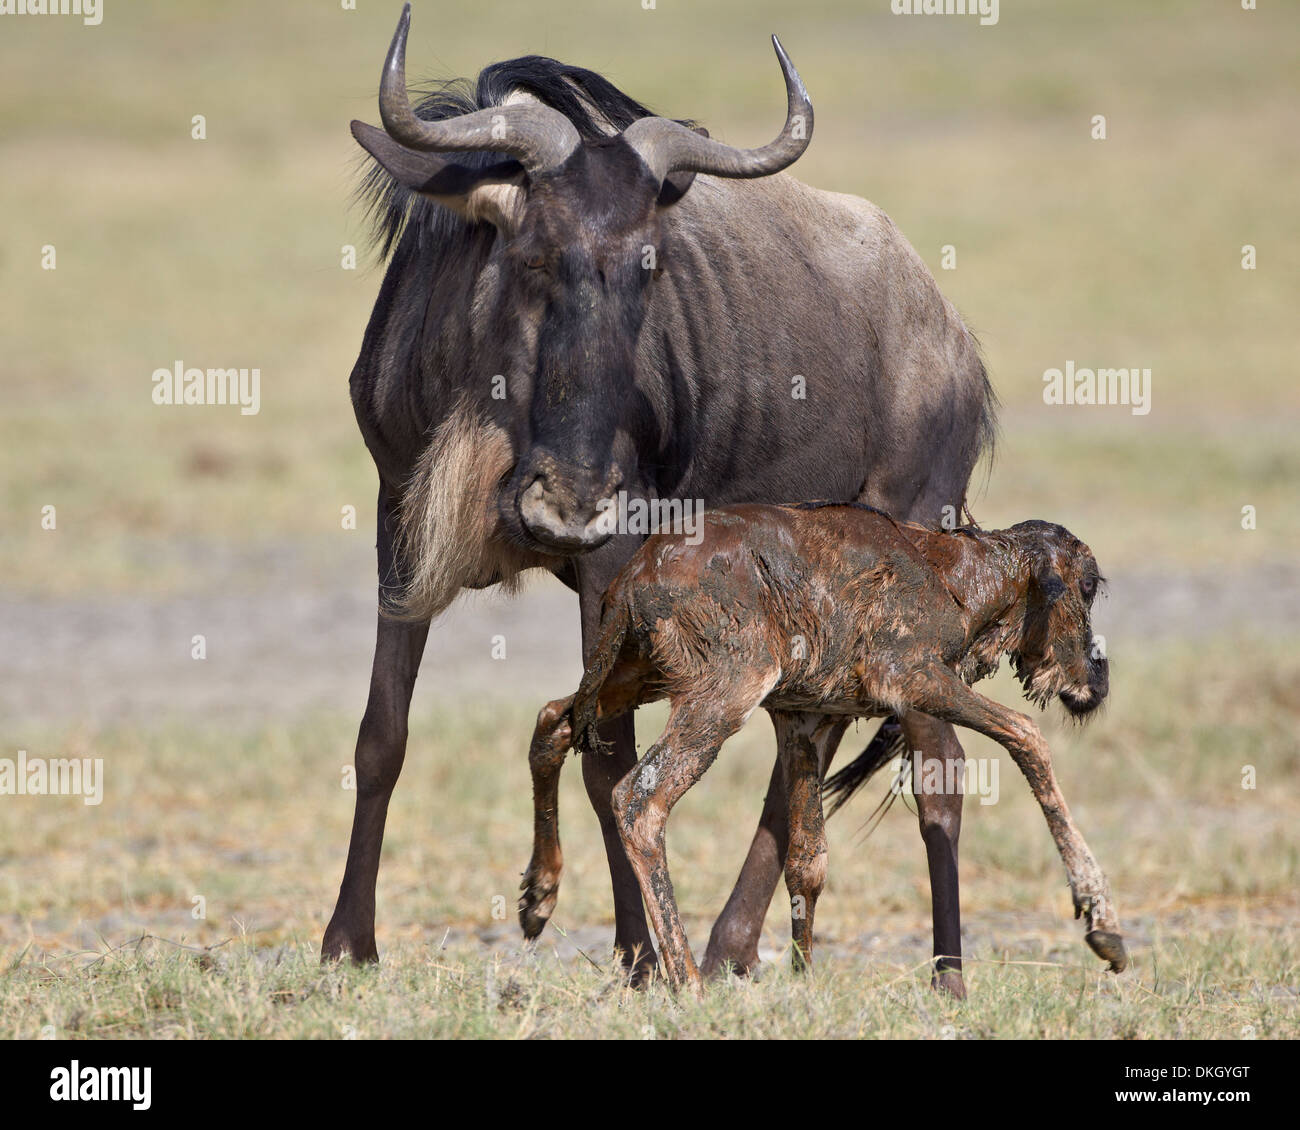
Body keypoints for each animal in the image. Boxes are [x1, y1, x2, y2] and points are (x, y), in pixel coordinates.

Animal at [520, 507, 1128, 993]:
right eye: (1088, 586)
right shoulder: (911, 677)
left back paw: (536, 899)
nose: (1097, 680)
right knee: (638, 798)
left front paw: (804, 983)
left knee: (552, 721)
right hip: (727, 688)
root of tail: (631, 581)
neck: (963, 576)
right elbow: (1028, 735)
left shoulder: (802, 719)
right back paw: (688, 982)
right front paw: (1103, 924)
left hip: (634, 675)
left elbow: (807, 862)